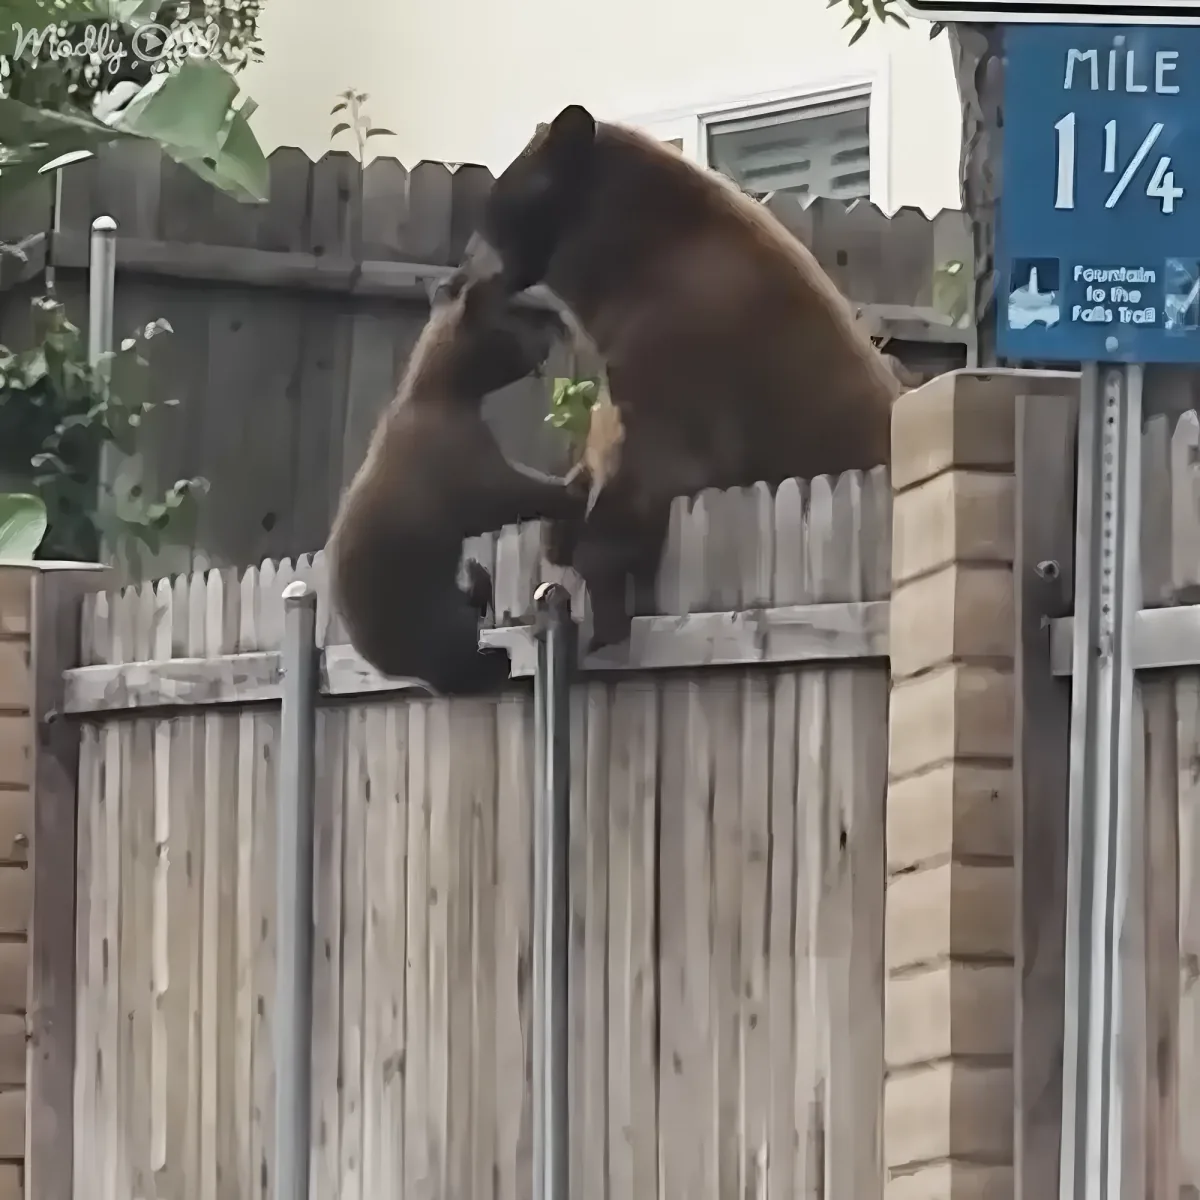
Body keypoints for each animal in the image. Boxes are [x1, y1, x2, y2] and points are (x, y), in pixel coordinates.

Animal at [326, 271, 586, 696]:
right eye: (513, 314)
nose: (557, 323)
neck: (440, 393)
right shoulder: (483, 482)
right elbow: (529, 493)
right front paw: (574, 485)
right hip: (444, 635)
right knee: (464, 670)